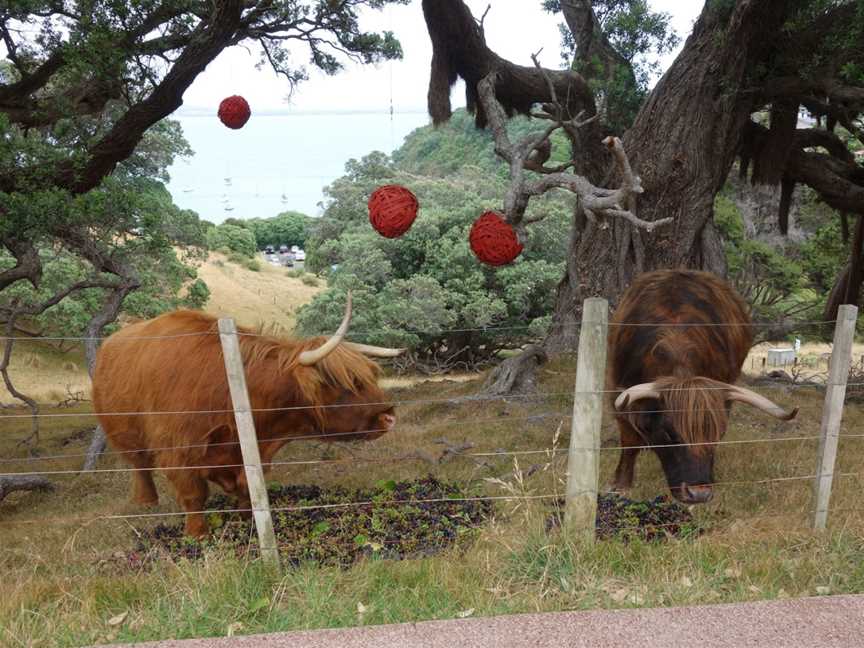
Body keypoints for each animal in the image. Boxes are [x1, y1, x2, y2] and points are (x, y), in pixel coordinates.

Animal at [93, 294, 404, 536]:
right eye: (346, 384)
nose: (389, 416)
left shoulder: (249, 452)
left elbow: (247, 488)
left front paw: (246, 521)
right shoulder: (179, 451)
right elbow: (194, 495)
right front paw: (197, 535)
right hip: (124, 432)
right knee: (140, 465)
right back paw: (146, 501)